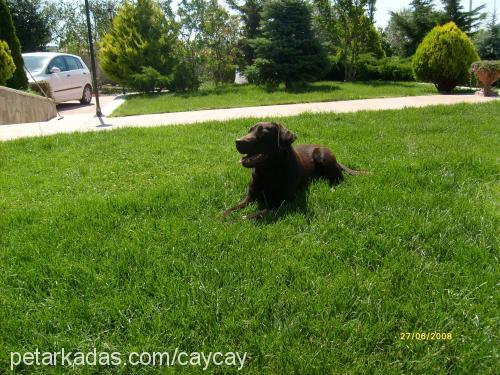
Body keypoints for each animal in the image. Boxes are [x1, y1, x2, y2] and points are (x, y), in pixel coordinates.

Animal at [223, 122, 368, 219]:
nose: (237, 141)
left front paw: (238, 219)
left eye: (263, 132)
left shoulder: (282, 203)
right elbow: (228, 210)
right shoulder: (249, 197)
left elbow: (256, 213)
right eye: (249, 130)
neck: (268, 171)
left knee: (341, 179)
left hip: (322, 155)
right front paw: (222, 218)